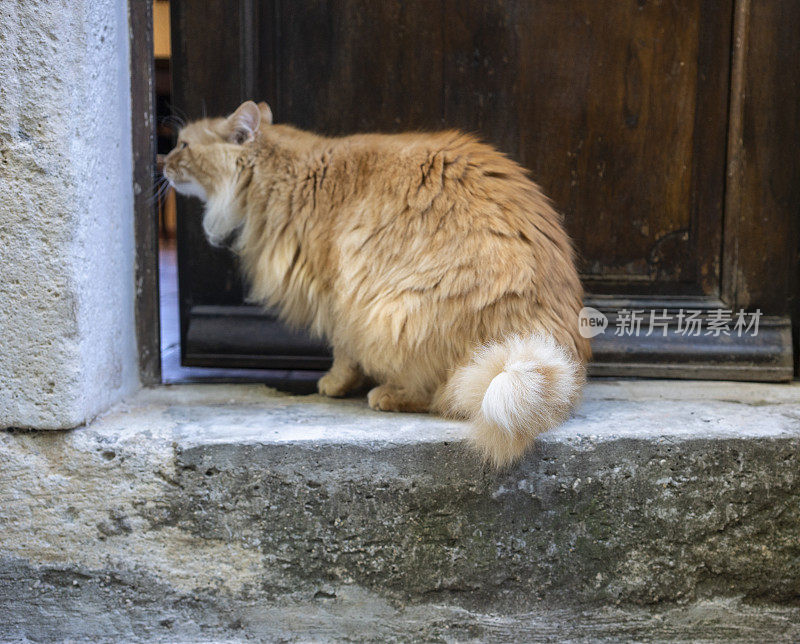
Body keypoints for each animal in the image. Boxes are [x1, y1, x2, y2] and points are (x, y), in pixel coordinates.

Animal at [164, 100, 588, 466]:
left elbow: (342, 351)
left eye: (182, 145)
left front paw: (334, 384)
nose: (160, 161)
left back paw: (386, 394)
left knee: (444, 396)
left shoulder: (336, 290)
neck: (287, 174)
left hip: (395, 314)